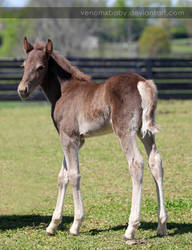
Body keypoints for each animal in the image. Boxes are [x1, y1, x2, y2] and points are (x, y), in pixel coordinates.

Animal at [18, 37, 168, 242]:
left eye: (41, 67)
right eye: (24, 65)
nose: (22, 90)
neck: (65, 91)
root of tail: (142, 82)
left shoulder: (69, 137)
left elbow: (74, 175)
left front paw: (75, 225)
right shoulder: (76, 140)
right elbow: (62, 176)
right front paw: (52, 226)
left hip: (125, 131)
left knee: (136, 164)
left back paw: (130, 229)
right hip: (144, 131)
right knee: (156, 162)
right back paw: (162, 225)